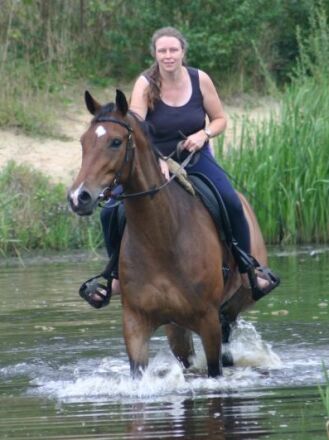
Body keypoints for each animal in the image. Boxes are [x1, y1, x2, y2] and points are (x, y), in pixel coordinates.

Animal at [68, 90, 268, 378]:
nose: (78, 197)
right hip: (177, 326)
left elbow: (215, 367)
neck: (162, 239)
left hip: (235, 302)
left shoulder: (208, 320)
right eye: (83, 142)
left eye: (116, 142)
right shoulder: (135, 322)